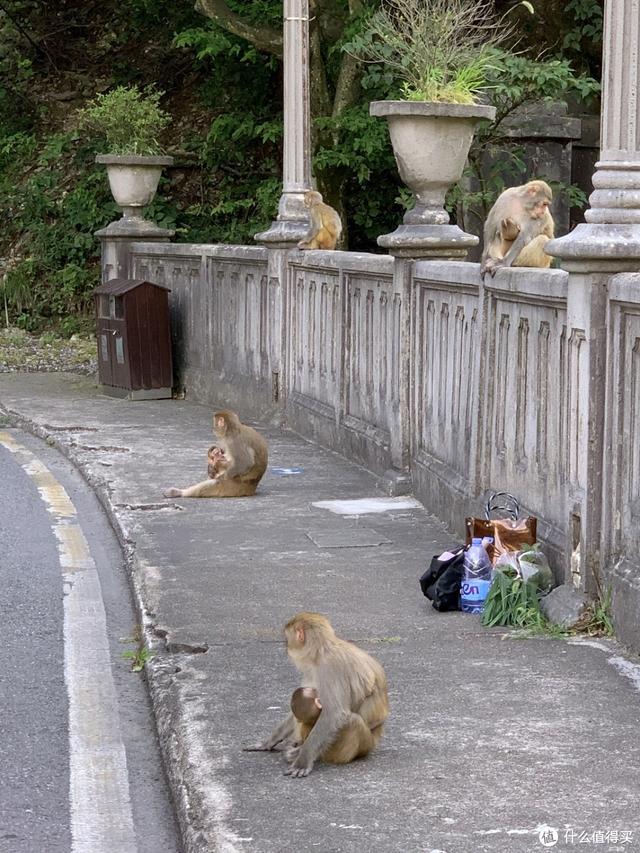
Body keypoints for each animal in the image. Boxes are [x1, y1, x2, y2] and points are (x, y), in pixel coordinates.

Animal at [242, 608, 388, 776]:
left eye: (287, 639)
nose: (286, 647)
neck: (322, 651)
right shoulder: (312, 669)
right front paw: (269, 741)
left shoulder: (330, 667)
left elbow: (334, 714)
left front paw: (303, 759)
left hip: (358, 747)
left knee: (353, 721)